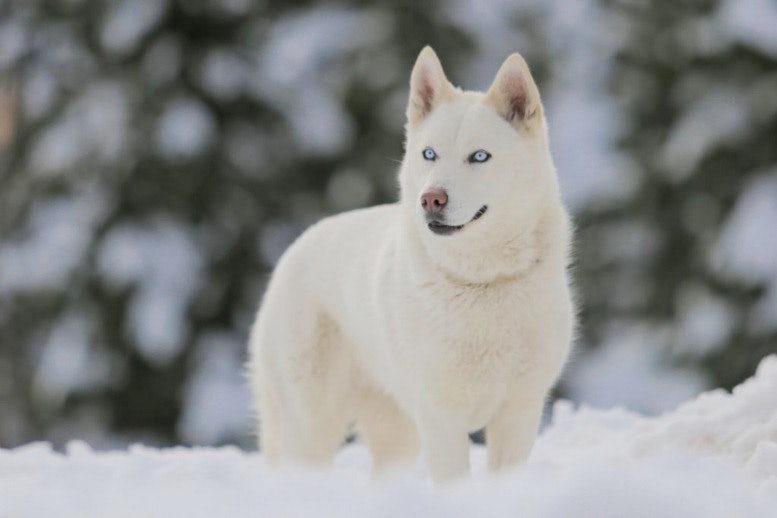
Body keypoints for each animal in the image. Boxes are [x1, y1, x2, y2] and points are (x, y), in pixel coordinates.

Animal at [246, 46, 572, 486]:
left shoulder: (518, 412)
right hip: (310, 425)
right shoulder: (441, 418)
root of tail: (294, 249)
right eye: (429, 154)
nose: (430, 199)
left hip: (396, 436)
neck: (480, 281)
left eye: (479, 156)